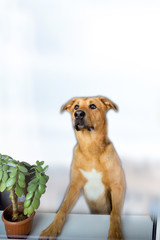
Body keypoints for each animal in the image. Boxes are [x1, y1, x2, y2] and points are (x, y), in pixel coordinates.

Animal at [39, 96, 125, 239]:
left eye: (93, 106)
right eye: (76, 107)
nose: (78, 114)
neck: (91, 147)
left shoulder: (117, 186)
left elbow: (115, 214)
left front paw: (115, 234)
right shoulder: (74, 186)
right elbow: (62, 209)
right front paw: (51, 228)